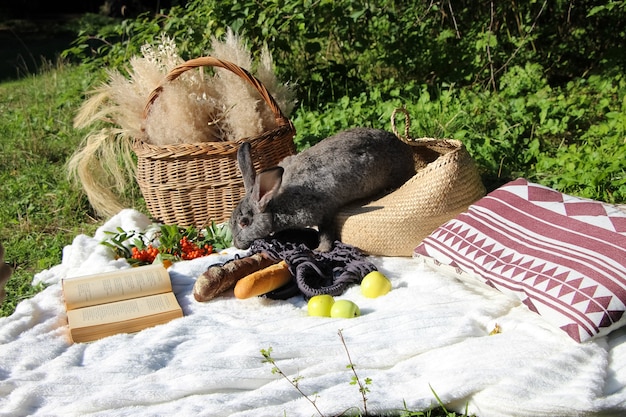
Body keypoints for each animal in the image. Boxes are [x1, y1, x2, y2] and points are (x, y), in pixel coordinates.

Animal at [229, 127, 414, 250]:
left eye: (244, 223)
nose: (237, 245)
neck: (275, 203)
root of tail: (405, 149)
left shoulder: (324, 212)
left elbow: (325, 234)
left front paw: (320, 251)